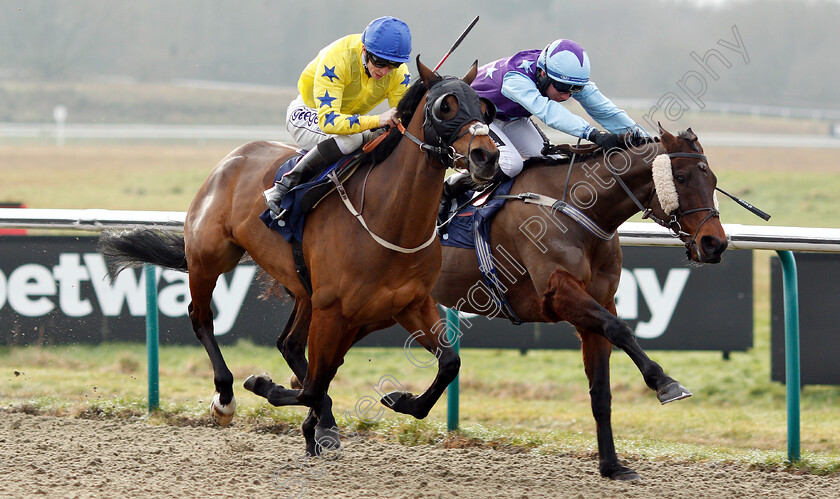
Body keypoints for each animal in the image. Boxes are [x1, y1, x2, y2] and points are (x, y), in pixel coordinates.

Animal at [101, 58, 502, 458]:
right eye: (445, 106)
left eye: (485, 108)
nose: (487, 156)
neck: (388, 219)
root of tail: (232, 158)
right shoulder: (334, 309)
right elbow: (311, 385)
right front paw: (265, 386)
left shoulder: (406, 304)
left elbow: (448, 363)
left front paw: (399, 400)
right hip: (209, 259)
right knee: (202, 319)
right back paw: (226, 397)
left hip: (307, 291)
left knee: (291, 345)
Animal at [272, 125, 724, 480]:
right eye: (681, 176)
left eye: (713, 178)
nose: (715, 243)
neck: (578, 208)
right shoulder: (560, 294)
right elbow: (622, 329)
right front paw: (666, 383)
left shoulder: (595, 306)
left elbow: (601, 391)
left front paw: (612, 465)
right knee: (316, 358)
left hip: (368, 305)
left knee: (309, 354)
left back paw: (316, 426)